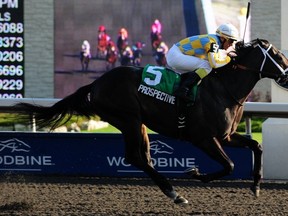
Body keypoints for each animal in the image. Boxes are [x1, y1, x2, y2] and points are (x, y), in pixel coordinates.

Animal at [14, 38, 288, 204]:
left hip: (138, 123)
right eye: (276, 54)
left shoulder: (226, 136)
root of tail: (97, 83)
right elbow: (229, 165)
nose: (287, 75)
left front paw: (256, 185)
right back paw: (174, 192)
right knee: (136, 158)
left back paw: (172, 192)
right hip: (129, 119)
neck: (223, 89)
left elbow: (257, 146)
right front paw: (196, 173)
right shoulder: (202, 138)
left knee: (142, 158)